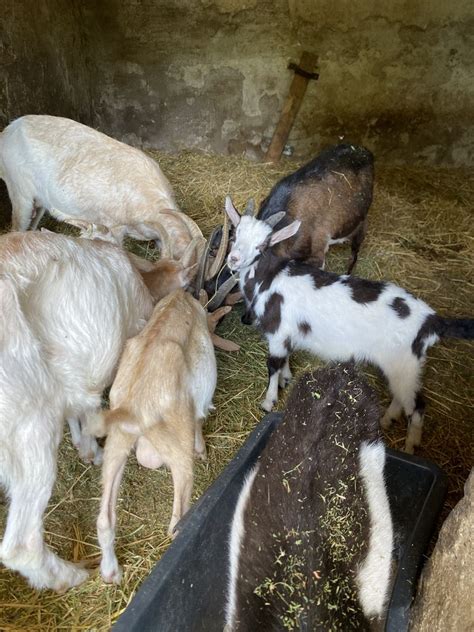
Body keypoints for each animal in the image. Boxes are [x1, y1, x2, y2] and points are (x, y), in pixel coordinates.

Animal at [94, 288, 233, 584]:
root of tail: (134, 407)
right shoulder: (196, 408)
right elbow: (199, 422)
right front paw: (203, 451)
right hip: (176, 447)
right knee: (176, 521)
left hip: (117, 442)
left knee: (104, 518)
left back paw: (111, 573)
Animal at [224, 196, 472, 450]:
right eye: (234, 235)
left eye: (262, 246)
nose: (233, 259)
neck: (270, 278)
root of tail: (431, 321)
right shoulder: (288, 335)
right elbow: (285, 359)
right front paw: (287, 379)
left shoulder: (278, 332)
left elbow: (273, 364)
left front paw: (268, 401)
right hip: (401, 364)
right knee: (400, 396)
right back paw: (386, 420)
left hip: (405, 362)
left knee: (417, 405)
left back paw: (410, 447)